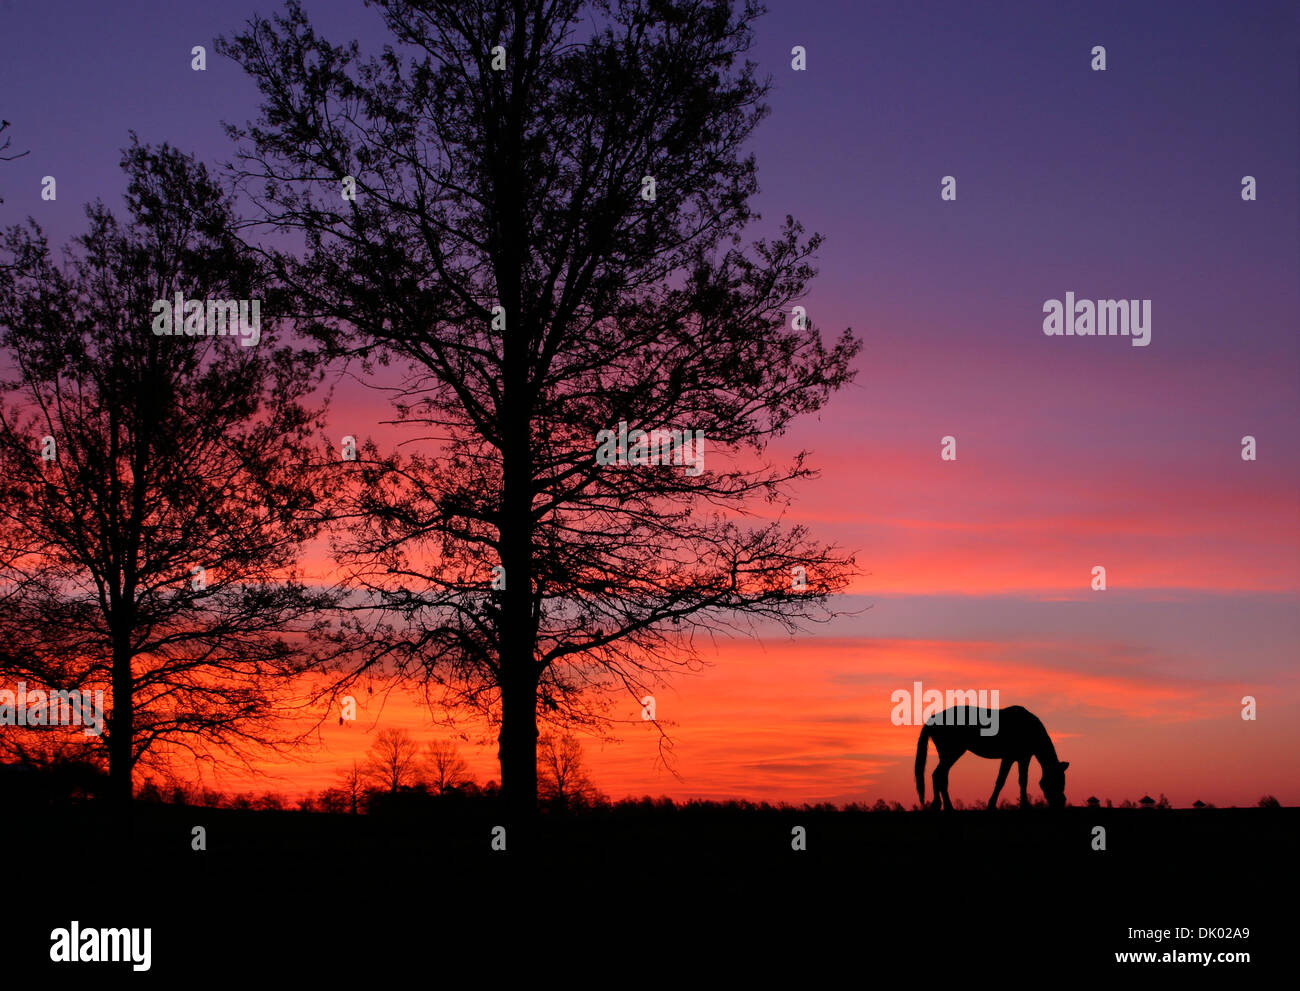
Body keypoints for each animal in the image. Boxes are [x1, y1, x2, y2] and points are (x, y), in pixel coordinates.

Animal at [915, 697, 1066, 806]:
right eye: (1053, 782)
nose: (1061, 803)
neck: (1029, 728)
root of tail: (933, 719)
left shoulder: (1024, 758)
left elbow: (1023, 780)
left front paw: (1024, 805)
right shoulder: (1008, 758)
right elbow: (1000, 781)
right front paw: (991, 805)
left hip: (946, 755)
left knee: (941, 776)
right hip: (951, 753)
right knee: (938, 775)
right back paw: (944, 806)